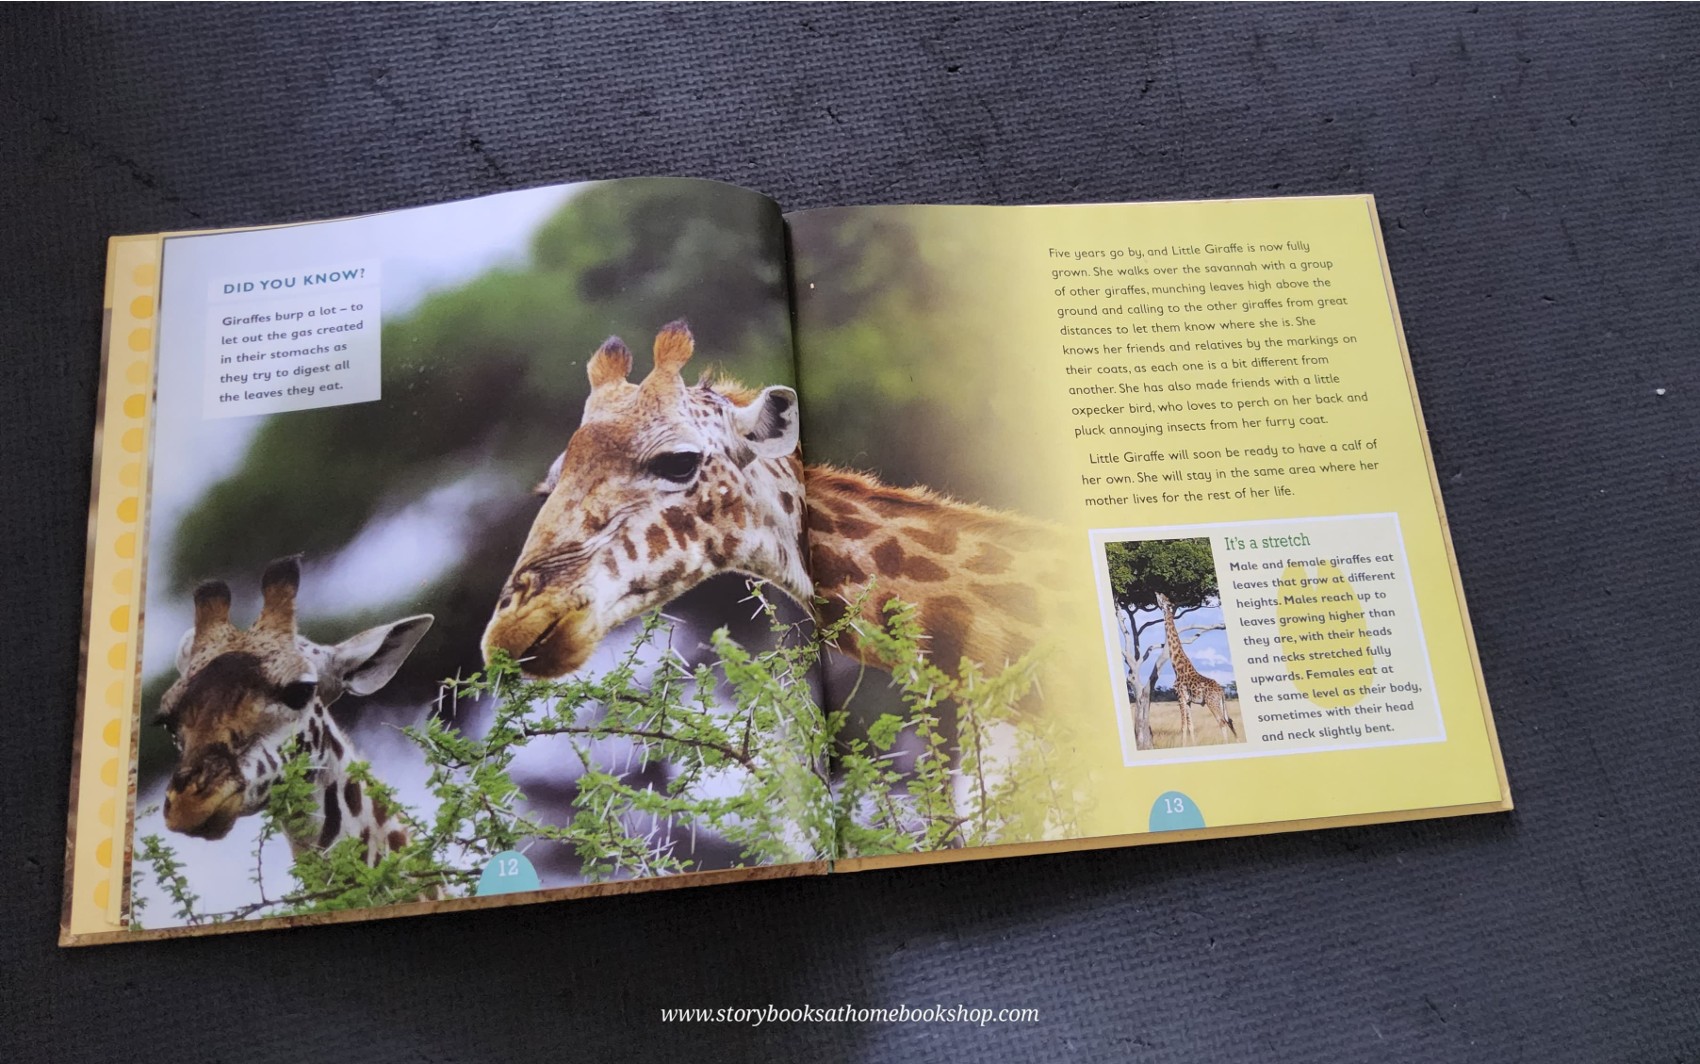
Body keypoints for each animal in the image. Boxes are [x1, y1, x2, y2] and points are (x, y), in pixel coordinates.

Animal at [1153, 591, 1235, 745]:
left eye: (1163, 598)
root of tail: (1221, 691)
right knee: (1229, 721)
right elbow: (1191, 726)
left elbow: (1183, 727)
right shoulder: (1188, 701)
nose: (1157, 592)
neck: (1177, 667)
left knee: (1222, 722)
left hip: (1212, 703)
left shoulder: (1180, 697)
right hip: (1220, 703)